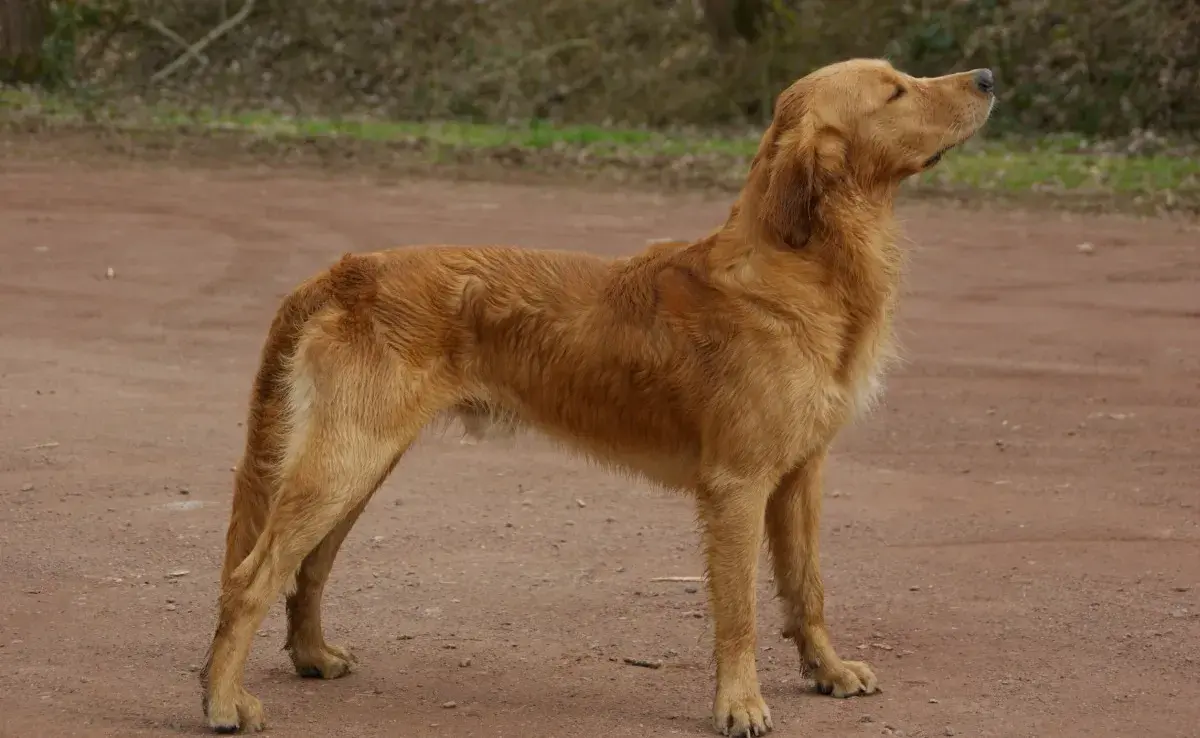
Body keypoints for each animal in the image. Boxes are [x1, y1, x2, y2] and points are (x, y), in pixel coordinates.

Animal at [201, 59, 998, 738]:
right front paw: (740, 705)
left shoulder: (802, 473)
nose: (988, 77)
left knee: (307, 568)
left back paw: (313, 657)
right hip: (345, 460)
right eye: (894, 91)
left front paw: (827, 672)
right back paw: (222, 701)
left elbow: (808, 587)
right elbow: (738, 612)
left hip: (361, 467)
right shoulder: (737, 486)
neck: (798, 265)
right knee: (251, 576)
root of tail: (342, 271)